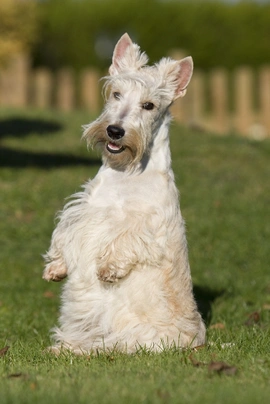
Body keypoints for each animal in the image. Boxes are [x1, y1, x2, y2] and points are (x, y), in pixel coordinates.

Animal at [43, 32, 206, 354]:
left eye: (149, 105)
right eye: (116, 94)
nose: (115, 131)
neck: (126, 172)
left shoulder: (151, 222)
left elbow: (127, 238)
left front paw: (108, 268)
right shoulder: (83, 209)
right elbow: (64, 231)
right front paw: (55, 267)